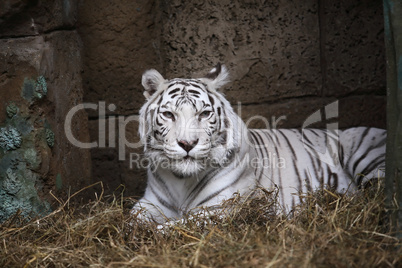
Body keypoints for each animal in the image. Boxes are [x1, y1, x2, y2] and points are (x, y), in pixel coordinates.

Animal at [132, 63, 386, 223]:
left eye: (204, 114)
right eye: (169, 115)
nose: (187, 143)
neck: (181, 180)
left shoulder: (219, 209)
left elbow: (170, 229)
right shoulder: (150, 204)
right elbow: (131, 221)